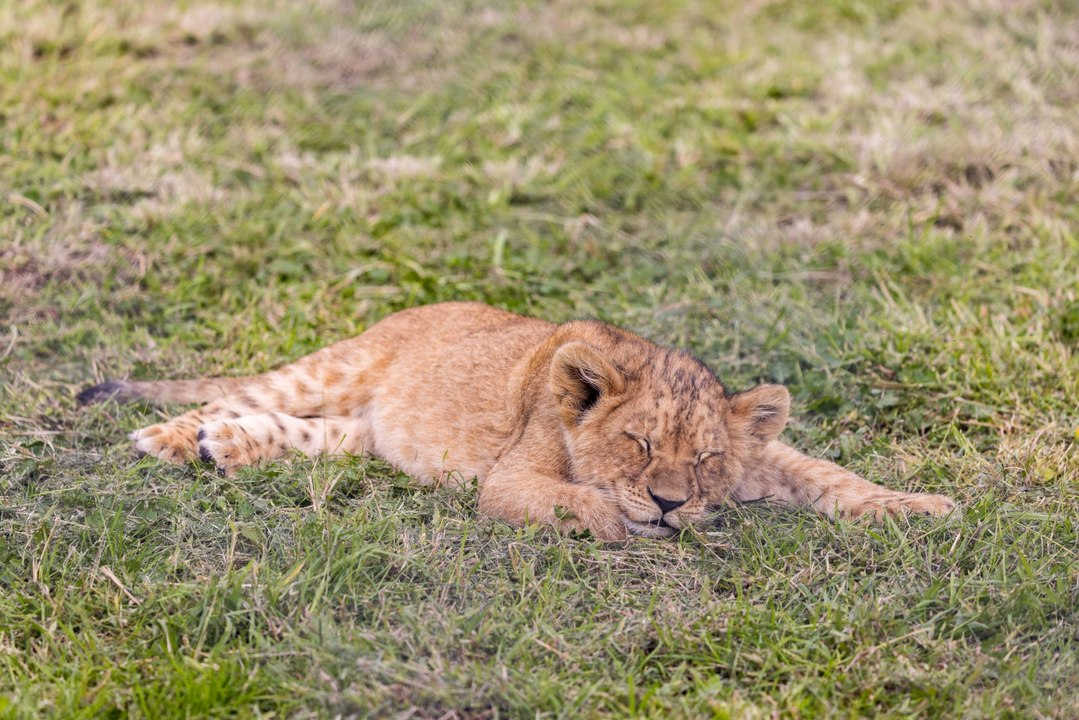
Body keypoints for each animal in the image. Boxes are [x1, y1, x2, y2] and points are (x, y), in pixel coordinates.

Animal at [78, 302, 955, 540]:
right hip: (328, 371)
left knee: (295, 432)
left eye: (706, 460)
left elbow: (829, 474)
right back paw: (173, 437)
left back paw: (222, 448)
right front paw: (622, 516)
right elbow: (575, 502)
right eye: (637, 443)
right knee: (236, 394)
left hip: (357, 428)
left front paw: (920, 507)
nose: (670, 502)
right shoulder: (507, 480)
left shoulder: (765, 462)